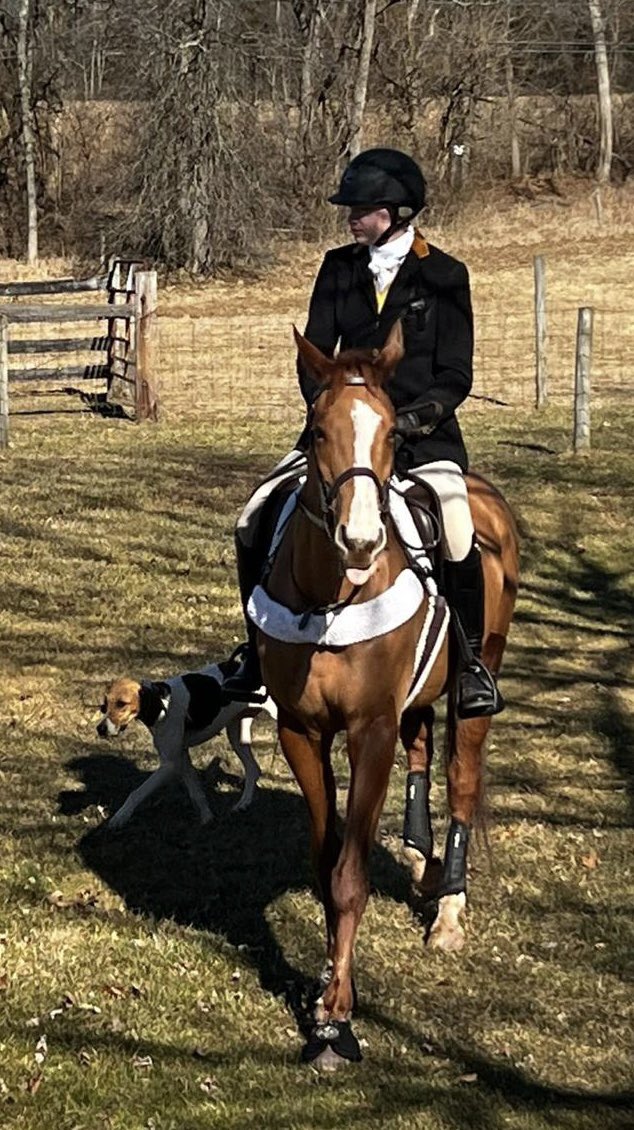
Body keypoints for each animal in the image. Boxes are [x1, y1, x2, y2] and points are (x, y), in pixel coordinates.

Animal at [251, 320, 519, 1070]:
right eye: (317, 429)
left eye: (395, 434)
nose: (362, 539)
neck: (330, 598)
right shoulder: (302, 732)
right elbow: (325, 865)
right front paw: (322, 996)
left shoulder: (368, 730)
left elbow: (348, 876)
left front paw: (337, 1021)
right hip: (418, 701)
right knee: (423, 752)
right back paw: (420, 861)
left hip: (476, 682)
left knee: (460, 777)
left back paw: (448, 906)